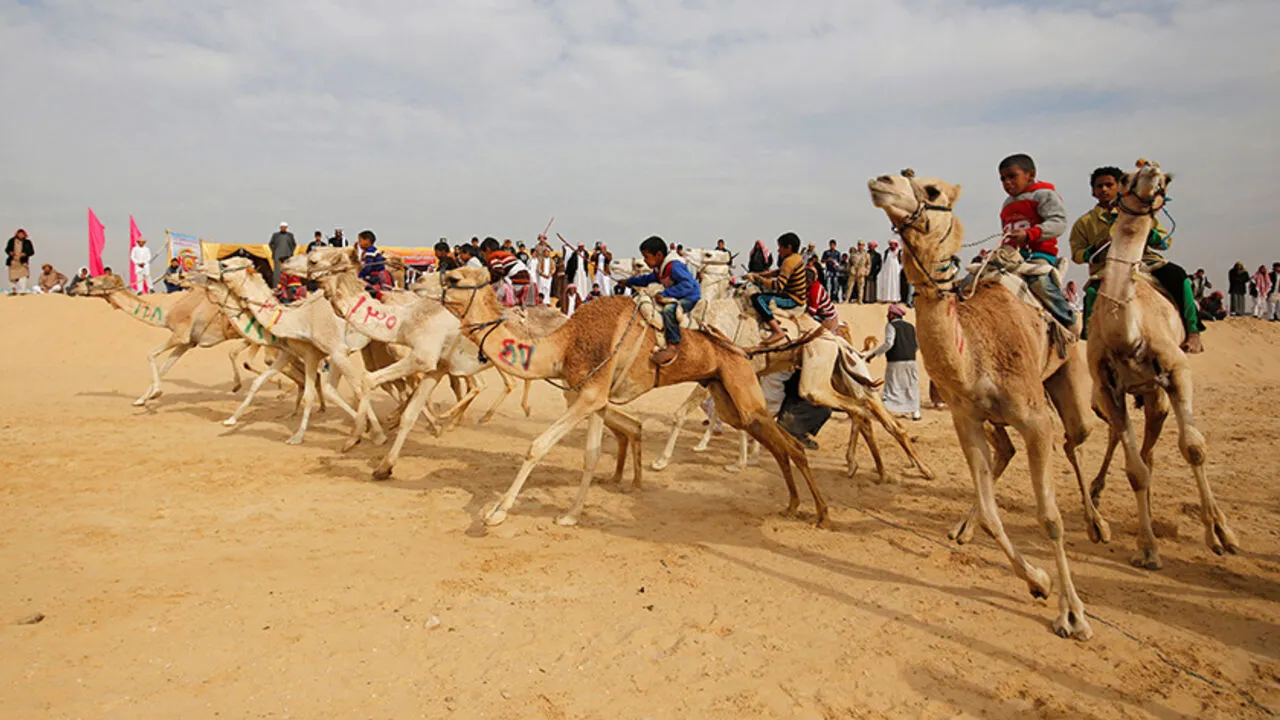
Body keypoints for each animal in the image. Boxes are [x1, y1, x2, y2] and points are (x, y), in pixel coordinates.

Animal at [70, 277, 261, 405]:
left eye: (91, 281)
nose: (74, 287)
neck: (167, 313)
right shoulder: (187, 343)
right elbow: (165, 368)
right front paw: (142, 399)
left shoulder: (180, 335)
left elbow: (150, 354)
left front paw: (155, 393)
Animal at [299, 248, 567, 479]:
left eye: (313, 259)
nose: (289, 262)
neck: (404, 320)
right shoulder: (436, 367)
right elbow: (410, 412)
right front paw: (385, 466)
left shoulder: (421, 356)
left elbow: (369, 380)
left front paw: (355, 439)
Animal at [436, 265, 828, 529]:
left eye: (454, 279)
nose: (431, 280)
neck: (564, 344)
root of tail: (742, 349)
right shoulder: (593, 396)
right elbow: (592, 456)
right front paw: (571, 515)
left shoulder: (589, 394)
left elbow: (537, 446)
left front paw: (496, 512)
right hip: (728, 393)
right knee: (771, 439)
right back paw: (793, 505)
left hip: (741, 385)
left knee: (791, 446)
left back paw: (821, 513)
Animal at [869, 170, 1097, 640]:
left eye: (932, 190)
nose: (882, 181)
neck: (974, 347)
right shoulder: (967, 417)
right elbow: (994, 516)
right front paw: (1039, 581)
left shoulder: (1034, 419)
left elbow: (1050, 517)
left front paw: (1074, 615)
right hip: (997, 417)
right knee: (1007, 451)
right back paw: (963, 527)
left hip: (1067, 373)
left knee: (1076, 437)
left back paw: (1097, 523)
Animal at [1086, 160, 1238, 569]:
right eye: (1124, 178)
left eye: (1167, 179)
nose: (1151, 173)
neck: (1126, 332)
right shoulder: (1107, 389)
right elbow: (1135, 470)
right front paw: (1147, 548)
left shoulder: (1177, 371)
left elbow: (1195, 449)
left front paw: (1221, 534)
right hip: (1131, 395)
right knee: (1133, 448)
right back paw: (1104, 499)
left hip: (1158, 392)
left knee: (1155, 443)